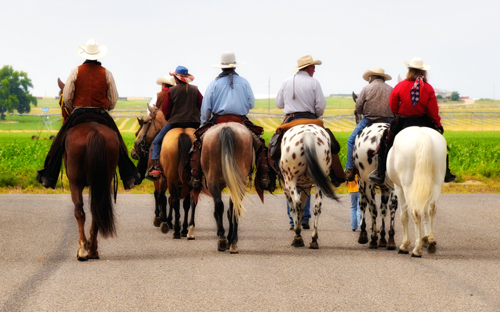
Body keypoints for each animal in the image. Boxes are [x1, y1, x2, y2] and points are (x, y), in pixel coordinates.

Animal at [384, 125, 448, 258]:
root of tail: (423, 136)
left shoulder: (399, 187)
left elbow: (404, 216)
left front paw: (405, 245)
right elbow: (426, 213)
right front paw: (427, 238)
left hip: (408, 185)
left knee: (415, 212)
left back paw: (416, 249)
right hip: (436, 183)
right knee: (431, 209)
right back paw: (431, 242)